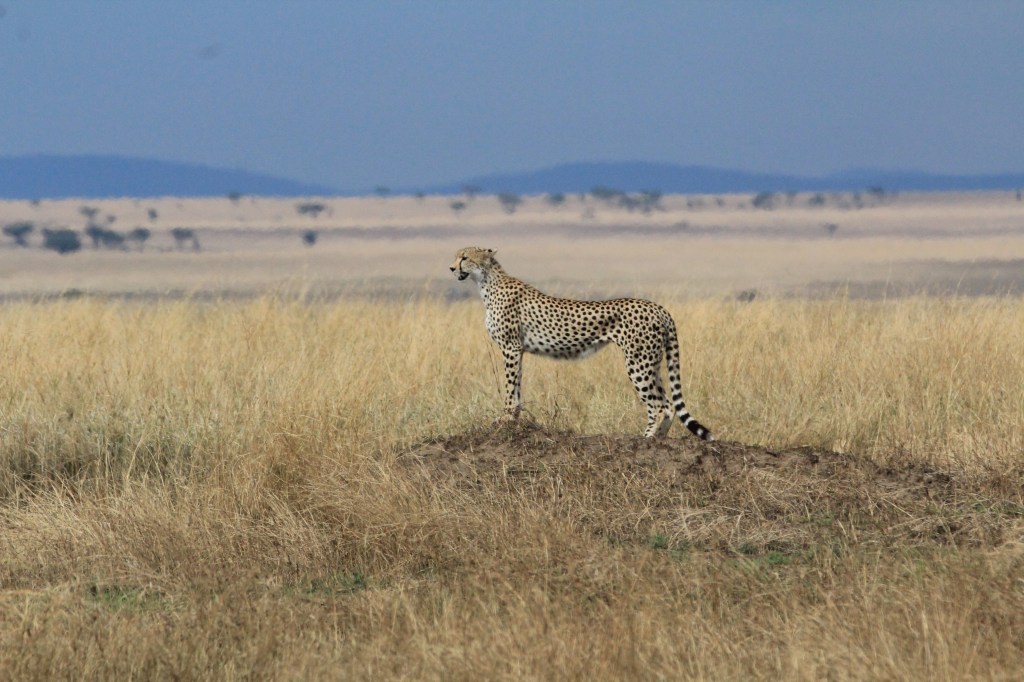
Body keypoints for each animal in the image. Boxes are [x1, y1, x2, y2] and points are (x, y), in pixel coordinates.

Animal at [450, 247, 713, 439]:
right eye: (456, 256)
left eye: (465, 257)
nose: (451, 268)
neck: (486, 282)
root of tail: (658, 307)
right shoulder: (517, 350)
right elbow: (516, 387)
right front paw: (512, 419)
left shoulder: (511, 348)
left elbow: (509, 387)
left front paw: (505, 419)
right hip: (651, 362)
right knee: (668, 404)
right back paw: (660, 440)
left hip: (638, 363)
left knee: (659, 406)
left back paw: (647, 439)